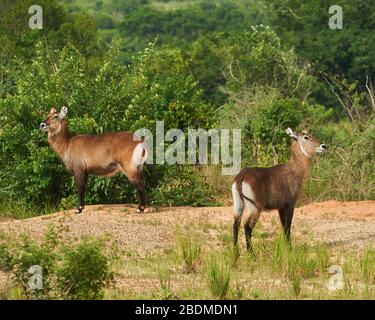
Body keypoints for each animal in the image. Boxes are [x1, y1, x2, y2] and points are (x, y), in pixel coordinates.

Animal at [232, 126, 326, 254]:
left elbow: (283, 227)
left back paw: (235, 253)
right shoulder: (290, 204)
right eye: (306, 137)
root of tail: (242, 176)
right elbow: (288, 227)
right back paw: (251, 254)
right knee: (247, 227)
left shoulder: (280, 207)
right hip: (255, 207)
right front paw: (290, 250)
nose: (323, 146)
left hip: (238, 205)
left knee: (235, 224)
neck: (295, 169)